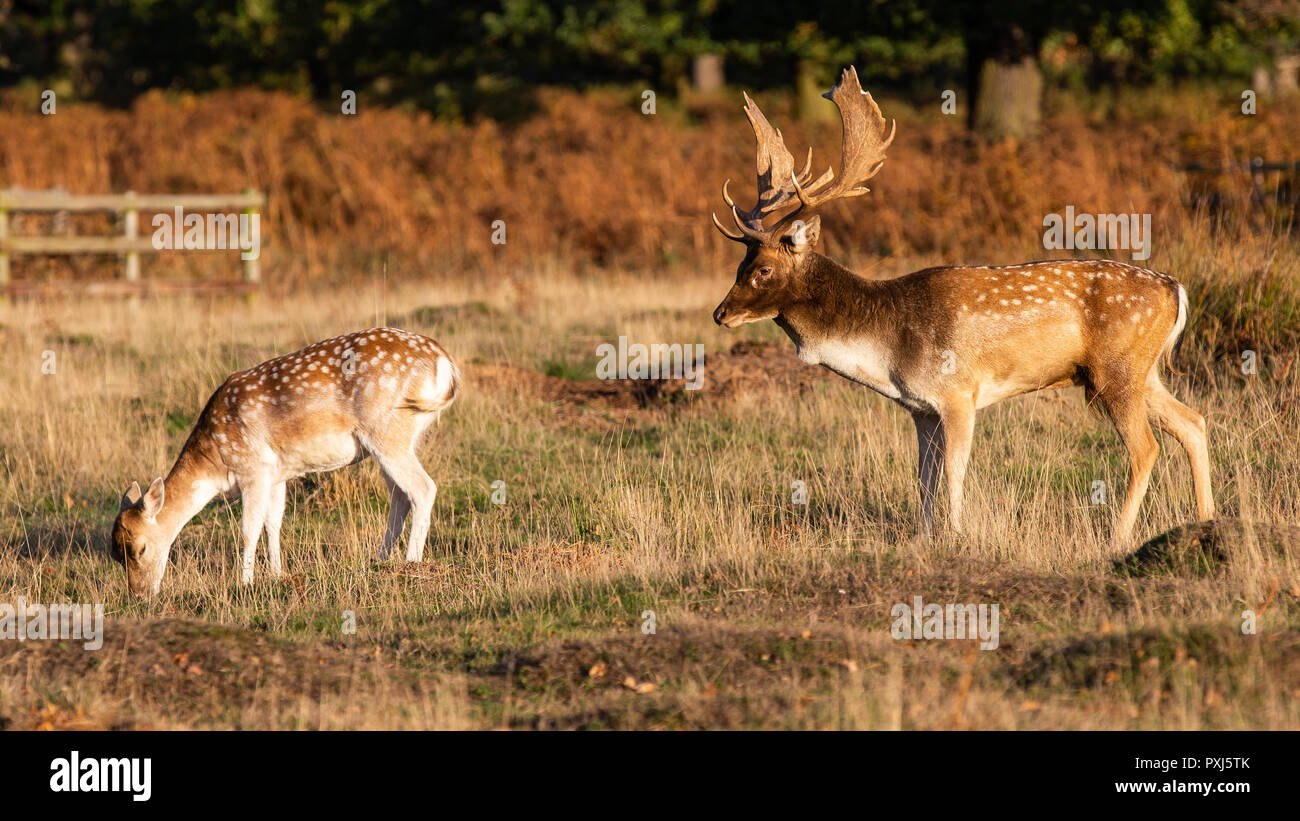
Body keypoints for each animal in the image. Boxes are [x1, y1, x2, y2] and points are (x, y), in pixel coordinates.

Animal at [111, 328, 461, 597]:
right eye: (116, 555)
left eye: (140, 548)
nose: (139, 595)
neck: (216, 463)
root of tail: (445, 363)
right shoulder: (276, 474)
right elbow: (274, 522)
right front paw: (277, 575)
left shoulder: (253, 468)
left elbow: (248, 529)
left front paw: (245, 582)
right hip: (396, 438)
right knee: (400, 495)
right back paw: (380, 559)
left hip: (387, 430)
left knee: (423, 488)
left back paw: (412, 564)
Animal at [710, 66, 1214, 545]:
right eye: (740, 263)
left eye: (763, 270)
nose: (720, 314)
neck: (888, 345)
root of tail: (1176, 289)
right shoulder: (920, 408)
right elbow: (924, 479)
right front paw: (923, 536)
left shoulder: (958, 393)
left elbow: (954, 472)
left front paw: (956, 535)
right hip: (1142, 372)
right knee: (1194, 422)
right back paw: (1207, 520)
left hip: (1117, 370)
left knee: (1146, 448)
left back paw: (1117, 536)